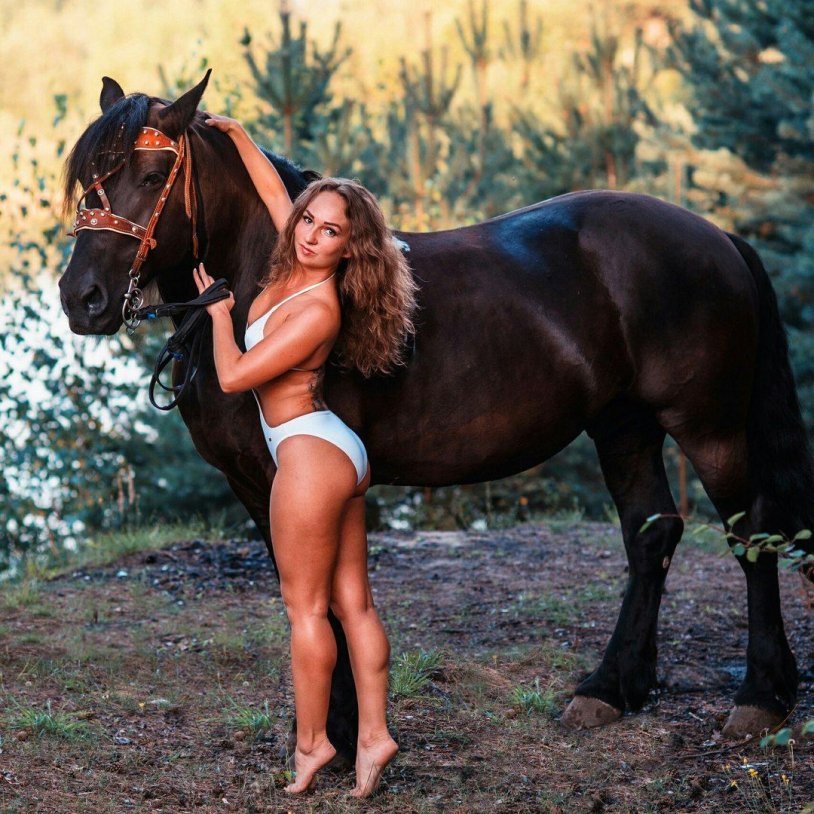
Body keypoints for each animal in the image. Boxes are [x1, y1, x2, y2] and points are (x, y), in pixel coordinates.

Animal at [58, 72, 814, 763]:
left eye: (153, 173)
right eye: (88, 179)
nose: (81, 297)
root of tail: (717, 236)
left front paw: (343, 736)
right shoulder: (256, 485)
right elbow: (301, 590)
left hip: (708, 427)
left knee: (752, 534)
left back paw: (760, 697)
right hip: (624, 427)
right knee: (651, 534)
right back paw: (612, 687)